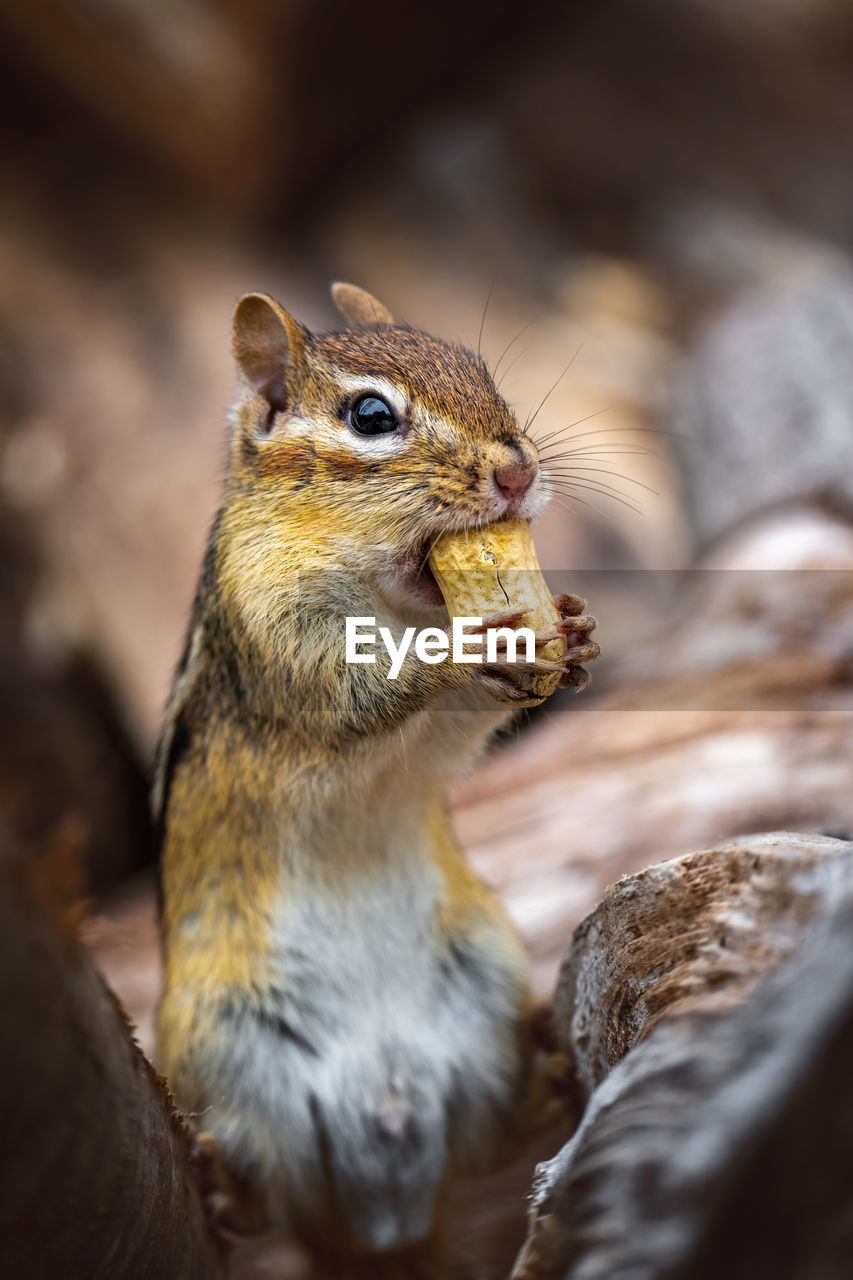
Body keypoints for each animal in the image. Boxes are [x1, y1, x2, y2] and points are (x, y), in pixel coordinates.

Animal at [153, 285, 594, 1274]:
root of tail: (388, 1221)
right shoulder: (279, 637)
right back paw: (223, 1189)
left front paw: (572, 629)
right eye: (370, 418)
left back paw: (547, 1087)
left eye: (482, 373)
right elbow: (353, 691)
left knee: (489, 1140)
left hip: (480, 984)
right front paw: (462, 648)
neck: (388, 597)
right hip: (221, 1046)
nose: (517, 472)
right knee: (269, 1199)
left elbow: (457, 733)